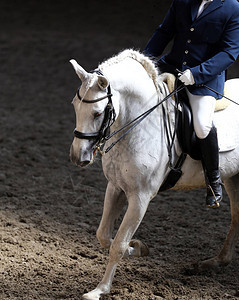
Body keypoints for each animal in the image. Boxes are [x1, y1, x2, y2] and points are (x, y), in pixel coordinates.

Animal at [68, 49, 239, 300]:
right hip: (233, 177)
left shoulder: (140, 198)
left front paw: (100, 289)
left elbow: (118, 244)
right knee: (237, 215)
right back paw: (215, 262)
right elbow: (104, 236)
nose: (77, 156)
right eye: (74, 105)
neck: (139, 124)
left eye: (98, 113)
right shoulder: (116, 187)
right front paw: (139, 248)